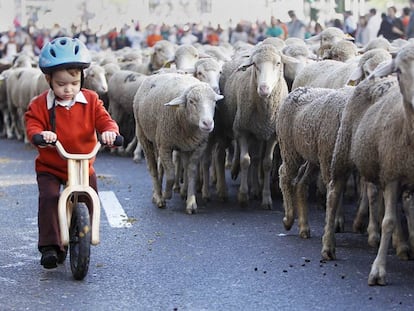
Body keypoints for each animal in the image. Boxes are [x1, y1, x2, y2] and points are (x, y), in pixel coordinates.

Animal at [134, 73, 222, 214]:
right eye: (191, 101)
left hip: (177, 144)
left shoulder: (199, 146)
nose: (208, 123)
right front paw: (166, 195)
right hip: (144, 135)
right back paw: (158, 197)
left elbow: (191, 171)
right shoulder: (165, 145)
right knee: (153, 168)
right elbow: (170, 173)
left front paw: (191, 203)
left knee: (165, 166)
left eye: (214, 101)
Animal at [324, 42, 414, 286]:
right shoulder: (392, 175)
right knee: (334, 193)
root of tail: (371, 78)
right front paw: (378, 271)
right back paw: (328, 246)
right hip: (343, 151)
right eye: (399, 70)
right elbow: (388, 221)